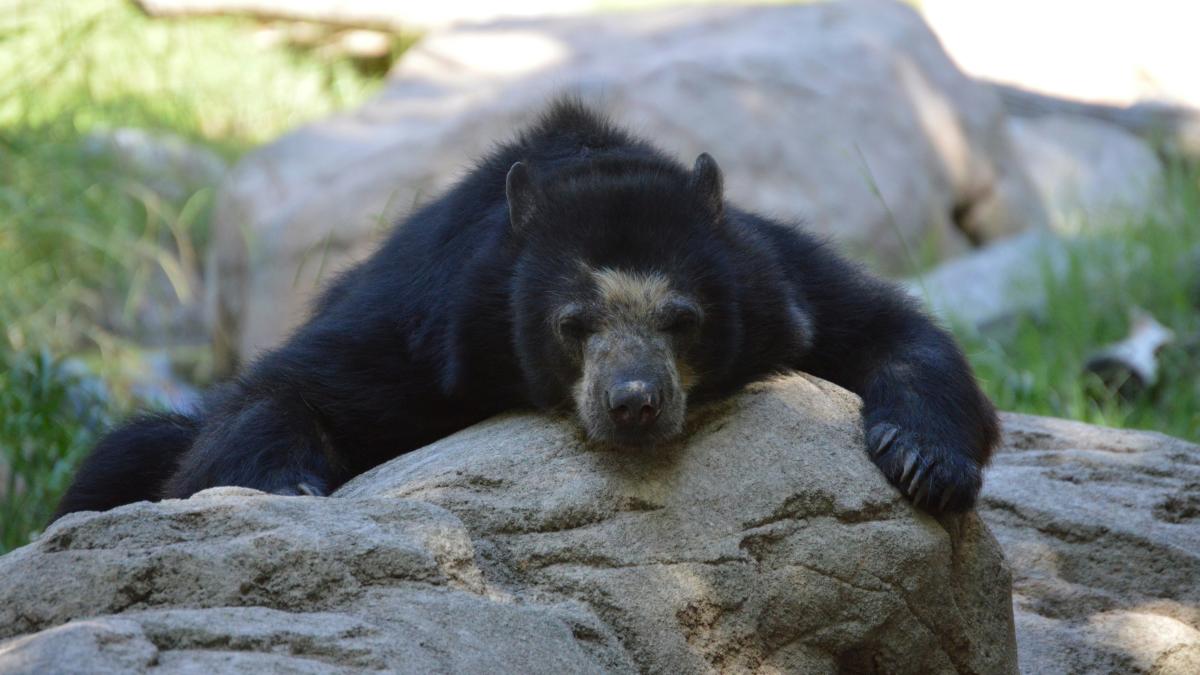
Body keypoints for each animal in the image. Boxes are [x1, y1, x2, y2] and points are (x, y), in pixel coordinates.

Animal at [53, 99, 999, 521]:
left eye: (683, 317)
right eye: (572, 324)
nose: (633, 403)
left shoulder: (773, 274)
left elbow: (886, 327)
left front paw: (925, 462)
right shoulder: (426, 324)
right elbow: (287, 389)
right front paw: (289, 484)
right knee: (126, 453)